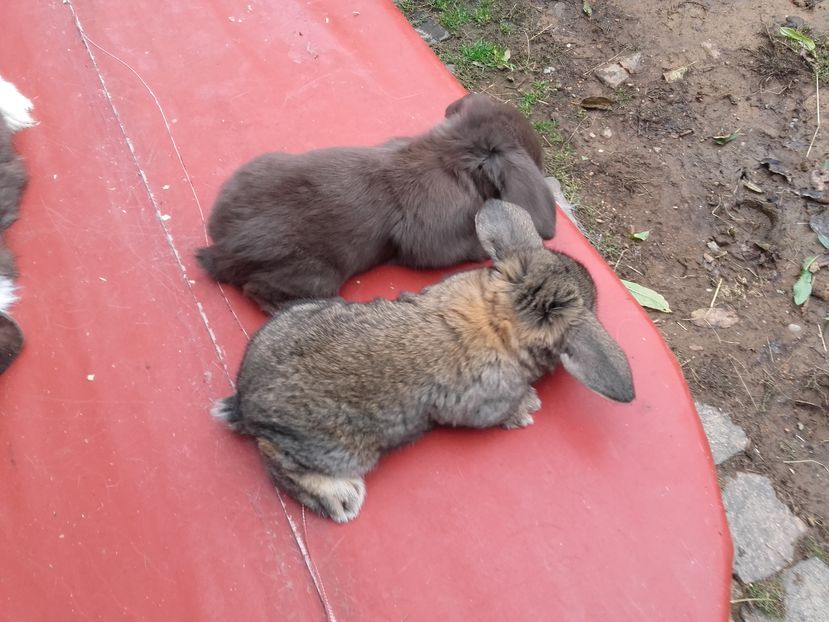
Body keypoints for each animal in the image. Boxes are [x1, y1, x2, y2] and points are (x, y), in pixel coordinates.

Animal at [212, 200, 634, 523]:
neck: (504, 316)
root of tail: (247, 403)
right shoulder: (484, 403)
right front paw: (526, 409)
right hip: (342, 451)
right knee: (276, 459)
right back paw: (342, 499)